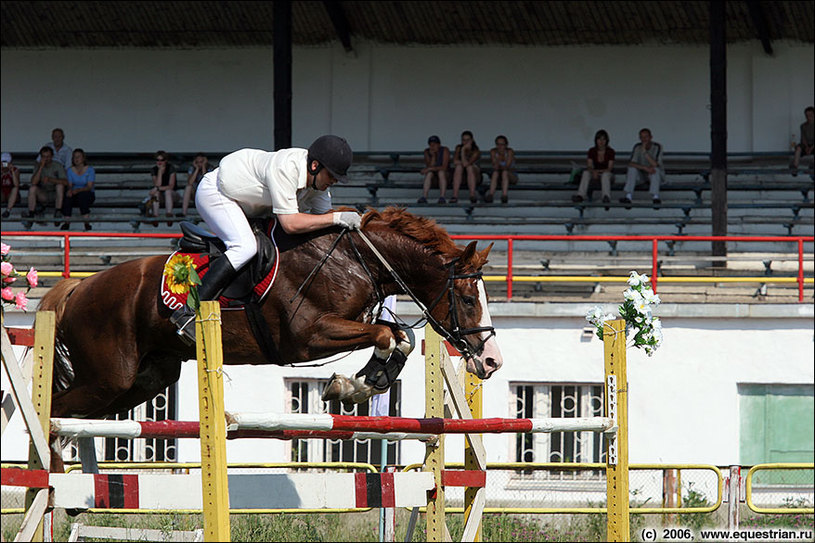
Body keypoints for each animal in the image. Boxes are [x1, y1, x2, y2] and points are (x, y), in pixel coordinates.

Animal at [41, 206, 506, 428]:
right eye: (468, 299)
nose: (492, 361)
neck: (355, 260)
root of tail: (77, 288)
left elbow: (399, 337)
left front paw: (367, 380)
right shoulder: (307, 337)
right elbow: (384, 334)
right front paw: (349, 385)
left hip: (142, 381)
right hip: (107, 378)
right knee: (53, 410)